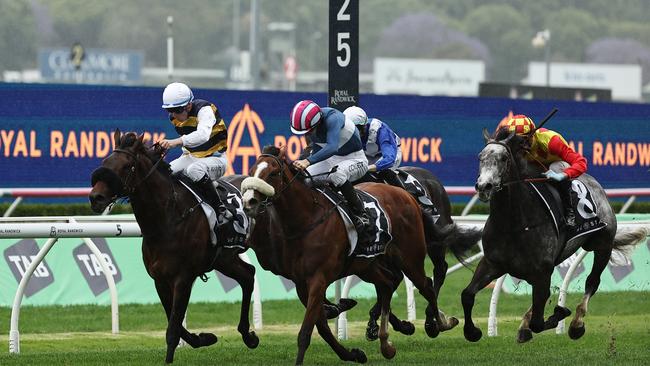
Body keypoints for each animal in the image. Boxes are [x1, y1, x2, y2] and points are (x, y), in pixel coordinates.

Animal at [88, 131, 258, 364]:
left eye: (126, 166)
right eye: (105, 162)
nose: (96, 198)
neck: (168, 219)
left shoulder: (183, 277)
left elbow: (173, 327)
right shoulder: (160, 278)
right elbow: (174, 322)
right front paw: (204, 338)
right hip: (224, 258)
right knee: (248, 275)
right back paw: (248, 335)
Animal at [239, 145, 456, 364]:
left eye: (273, 173)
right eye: (252, 171)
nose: (249, 202)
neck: (307, 219)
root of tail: (407, 195)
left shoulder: (318, 279)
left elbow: (306, 331)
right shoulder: (301, 283)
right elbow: (322, 327)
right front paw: (353, 353)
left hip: (411, 255)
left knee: (427, 283)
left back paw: (439, 323)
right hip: (367, 265)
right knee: (388, 283)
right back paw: (386, 342)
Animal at [464, 128, 644, 344]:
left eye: (504, 158)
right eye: (480, 157)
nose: (484, 186)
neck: (513, 223)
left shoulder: (541, 271)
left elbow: (539, 322)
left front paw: (560, 313)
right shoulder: (492, 263)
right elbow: (467, 294)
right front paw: (472, 332)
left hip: (603, 244)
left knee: (592, 282)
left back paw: (576, 324)